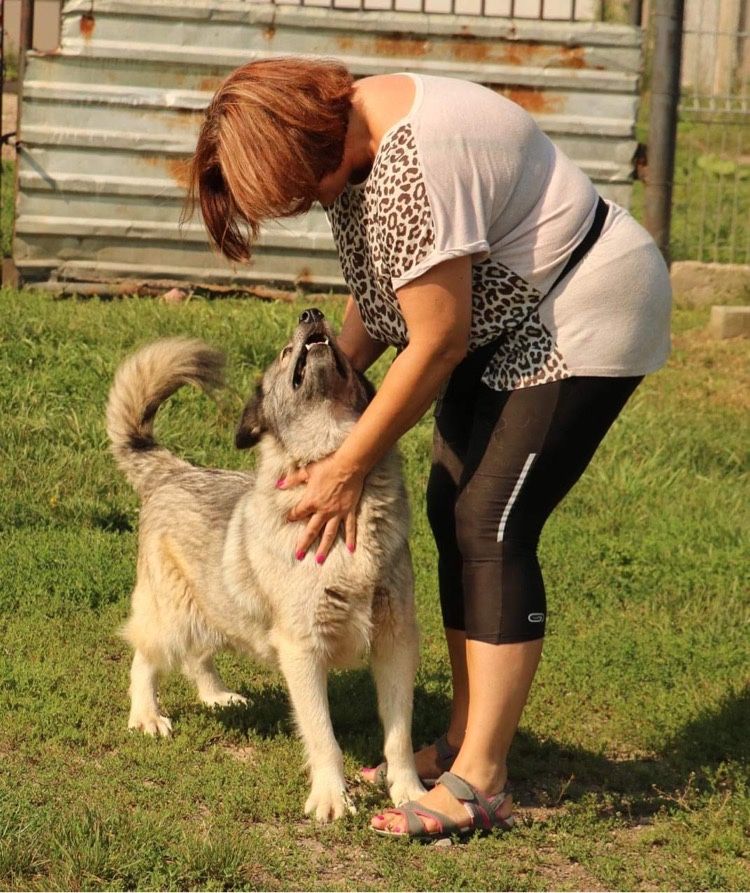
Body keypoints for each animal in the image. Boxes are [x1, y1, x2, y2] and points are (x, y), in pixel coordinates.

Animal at [106, 308, 426, 824]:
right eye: (283, 352)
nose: (312, 313)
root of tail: (173, 470)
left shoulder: (396, 640)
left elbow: (399, 736)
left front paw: (411, 794)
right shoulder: (302, 649)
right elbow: (323, 737)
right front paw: (332, 797)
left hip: (215, 606)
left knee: (198, 655)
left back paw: (216, 696)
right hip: (172, 614)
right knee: (145, 656)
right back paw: (146, 716)